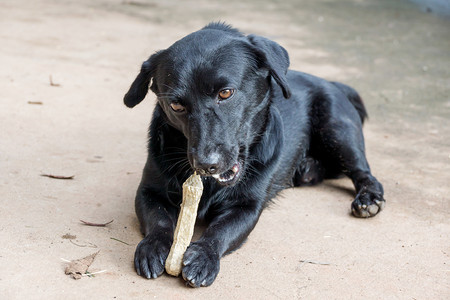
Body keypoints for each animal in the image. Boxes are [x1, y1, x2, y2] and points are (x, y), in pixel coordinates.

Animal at [123, 22, 384, 286]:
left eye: (226, 93)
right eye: (176, 105)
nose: (206, 164)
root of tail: (332, 82)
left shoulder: (247, 207)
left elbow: (220, 231)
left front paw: (204, 256)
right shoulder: (149, 191)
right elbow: (159, 220)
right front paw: (153, 246)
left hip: (337, 130)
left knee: (363, 172)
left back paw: (368, 199)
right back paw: (308, 169)